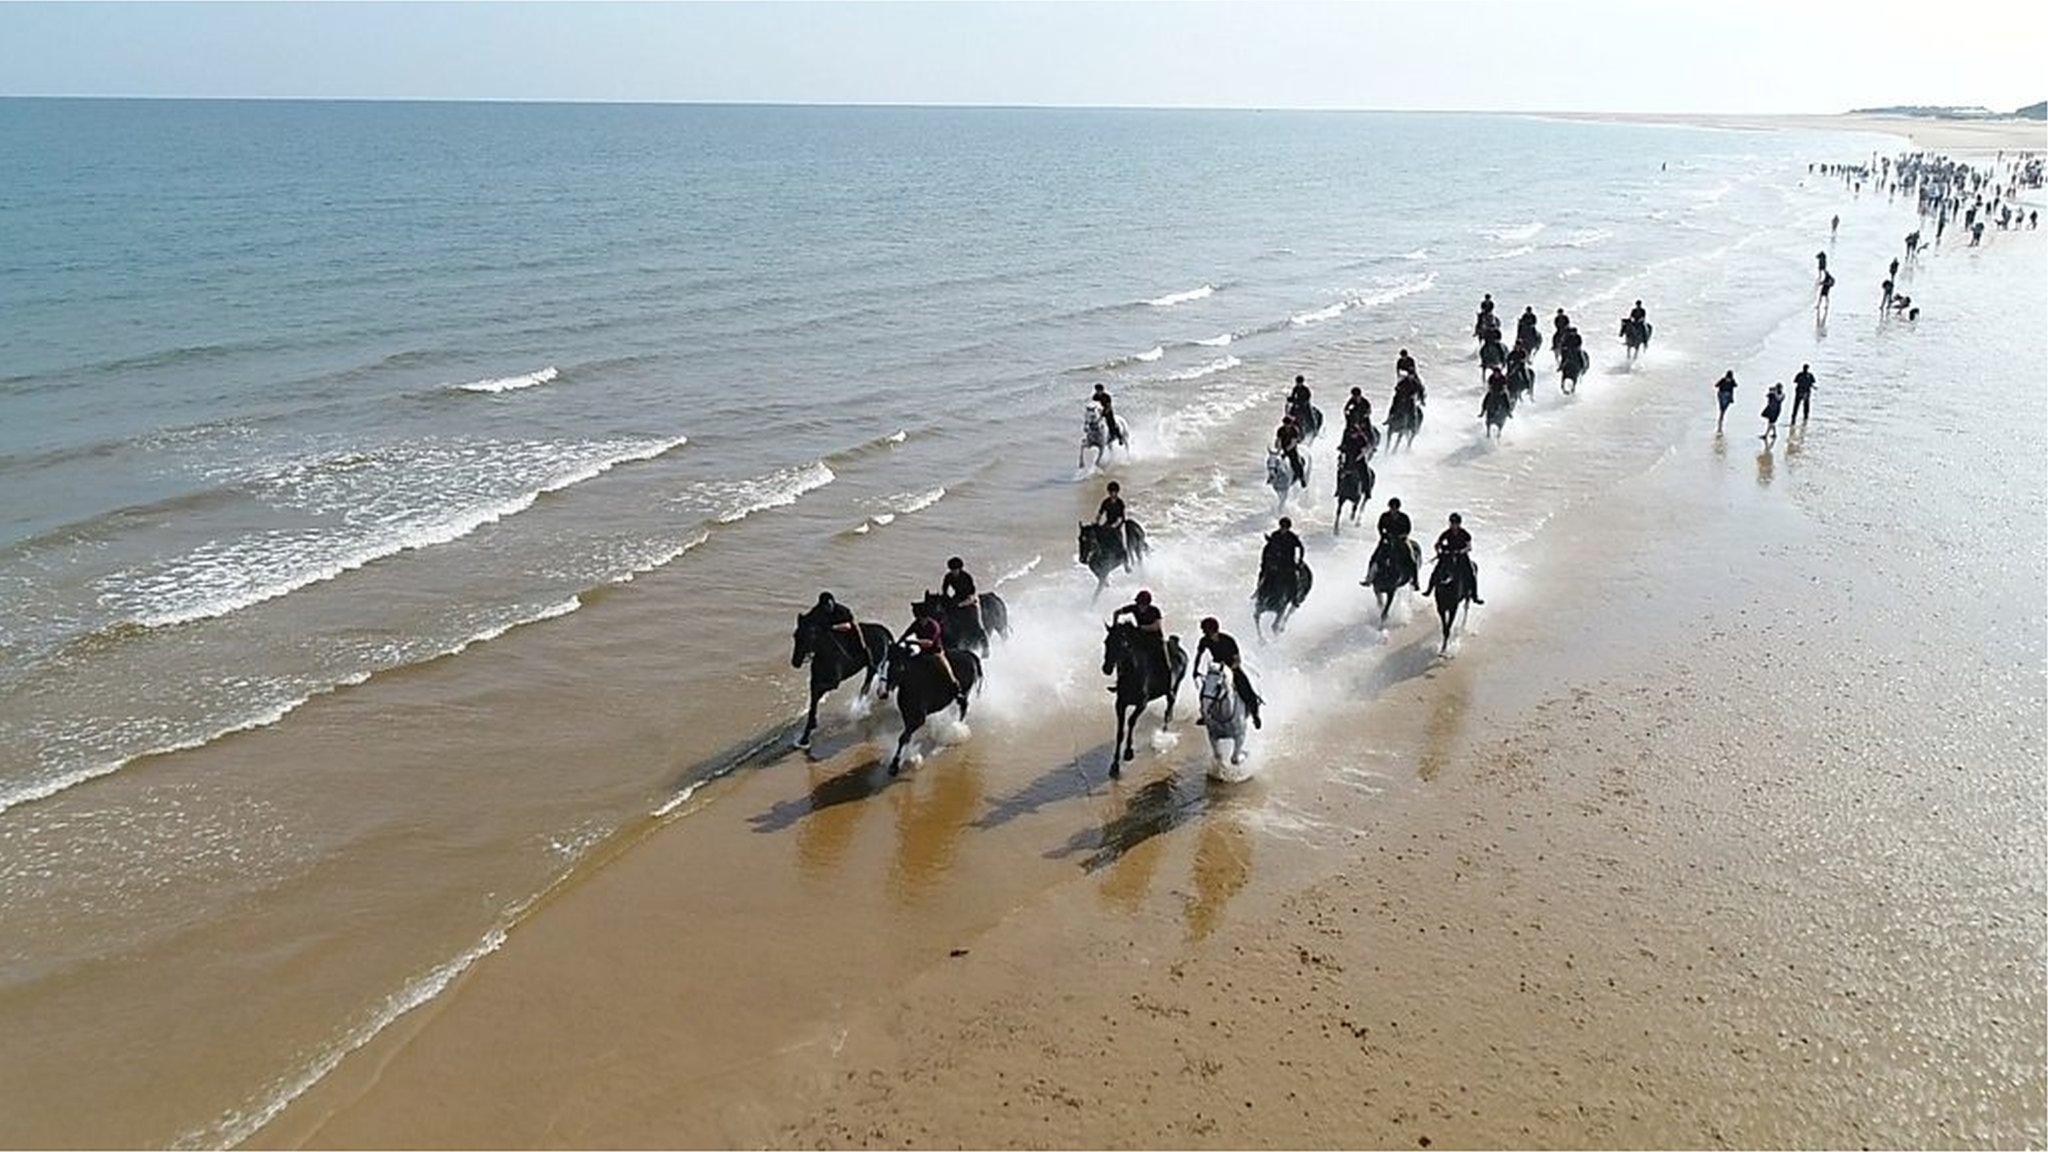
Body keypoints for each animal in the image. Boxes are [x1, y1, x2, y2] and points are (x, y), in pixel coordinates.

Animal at [786, 610, 892, 746]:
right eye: (795, 635)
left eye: (808, 636)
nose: (795, 662)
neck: (824, 652)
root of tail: (883, 630)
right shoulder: (815, 681)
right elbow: (813, 701)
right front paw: (805, 736)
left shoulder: (833, 682)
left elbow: (818, 694)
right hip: (873, 664)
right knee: (871, 681)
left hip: (873, 665)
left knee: (869, 683)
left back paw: (865, 704)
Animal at [880, 635, 983, 770]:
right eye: (885, 664)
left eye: (898, 666)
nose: (883, 692)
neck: (911, 681)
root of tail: (969, 655)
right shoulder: (906, 715)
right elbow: (906, 737)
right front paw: (906, 757)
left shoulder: (919, 718)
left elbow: (903, 737)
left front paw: (895, 764)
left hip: (965, 691)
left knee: (964, 707)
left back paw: (957, 730)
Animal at [1105, 619, 1187, 770]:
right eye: (1106, 642)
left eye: (1122, 644)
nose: (1106, 668)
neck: (1133, 673)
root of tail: (1178, 646)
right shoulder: (1120, 703)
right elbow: (1120, 731)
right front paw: (1114, 765)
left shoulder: (1141, 704)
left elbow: (1131, 721)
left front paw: (1128, 753)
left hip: (1175, 684)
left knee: (1170, 704)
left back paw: (1163, 735)